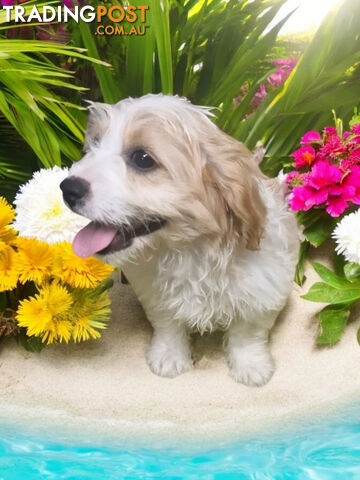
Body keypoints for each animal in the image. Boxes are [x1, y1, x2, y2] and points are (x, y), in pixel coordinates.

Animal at [60, 93, 300, 386]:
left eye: (142, 158)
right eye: (92, 146)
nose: (67, 188)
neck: (190, 249)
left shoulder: (264, 292)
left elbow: (247, 334)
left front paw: (251, 365)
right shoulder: (156, 294)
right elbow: (168, 324)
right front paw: (169, 356)